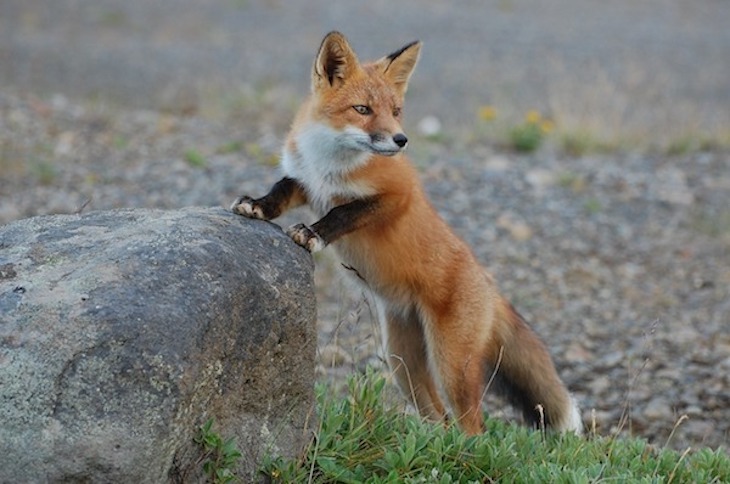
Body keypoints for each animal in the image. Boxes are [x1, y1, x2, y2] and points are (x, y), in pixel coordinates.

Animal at [231, 31, 582, 435]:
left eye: (395, 111)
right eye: (363, 109)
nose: (401, 140)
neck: (329, 164)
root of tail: (489, 286)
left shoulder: (397, 195)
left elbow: (342, 212)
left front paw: (313, 234)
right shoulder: (305, 181)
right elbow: (280, 190)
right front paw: (256, 206)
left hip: (451, 365)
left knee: (472, 426)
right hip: (403, 363)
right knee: (439, 418)